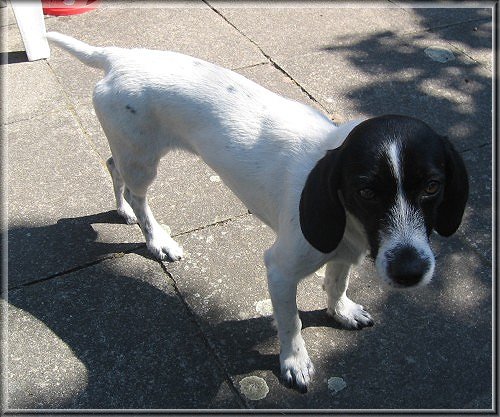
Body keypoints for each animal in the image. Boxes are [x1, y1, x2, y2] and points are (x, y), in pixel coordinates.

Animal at [45, 31, 466, 390]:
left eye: (432, 186)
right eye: (366, 191)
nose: (410, 272)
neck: (352, 225)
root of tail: (118, 56)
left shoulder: (342, 251)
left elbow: (336, 282)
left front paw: (341, 311)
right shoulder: (280, 269)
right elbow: (291, 321)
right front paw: (294, 362)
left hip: (132, 155)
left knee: (113, 166)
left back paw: (122, 210)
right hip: (143, 160)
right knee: (137, 192)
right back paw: (156, 238)